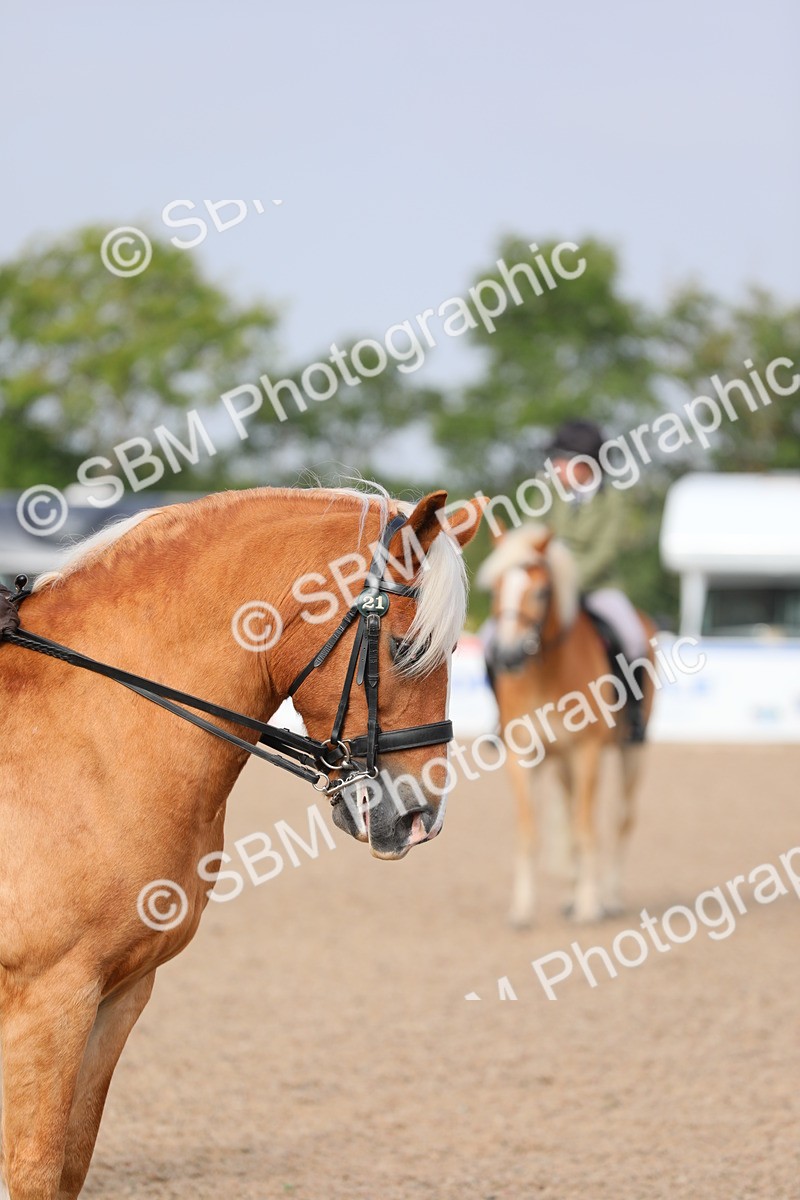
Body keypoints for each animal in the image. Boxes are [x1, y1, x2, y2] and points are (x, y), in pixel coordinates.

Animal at [0, 483, 485, 1200]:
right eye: (403, 647)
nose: (421, 816)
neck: (91, 732)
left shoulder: (117, 996)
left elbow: (69, 1166)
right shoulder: (49, 999)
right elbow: (33, 1171)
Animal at [477, 522, 657, 927]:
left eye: (542, 591)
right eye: (496, 588)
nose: (508, 655)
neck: (546, 673)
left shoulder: (587, 752)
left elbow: (586, 828)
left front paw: (590, 907)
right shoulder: (523, 755)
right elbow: (530, 833)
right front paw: (522, 910)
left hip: (631, 752)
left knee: (622, 819)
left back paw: (609, 898)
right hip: (561, 762)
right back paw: (572, 896)